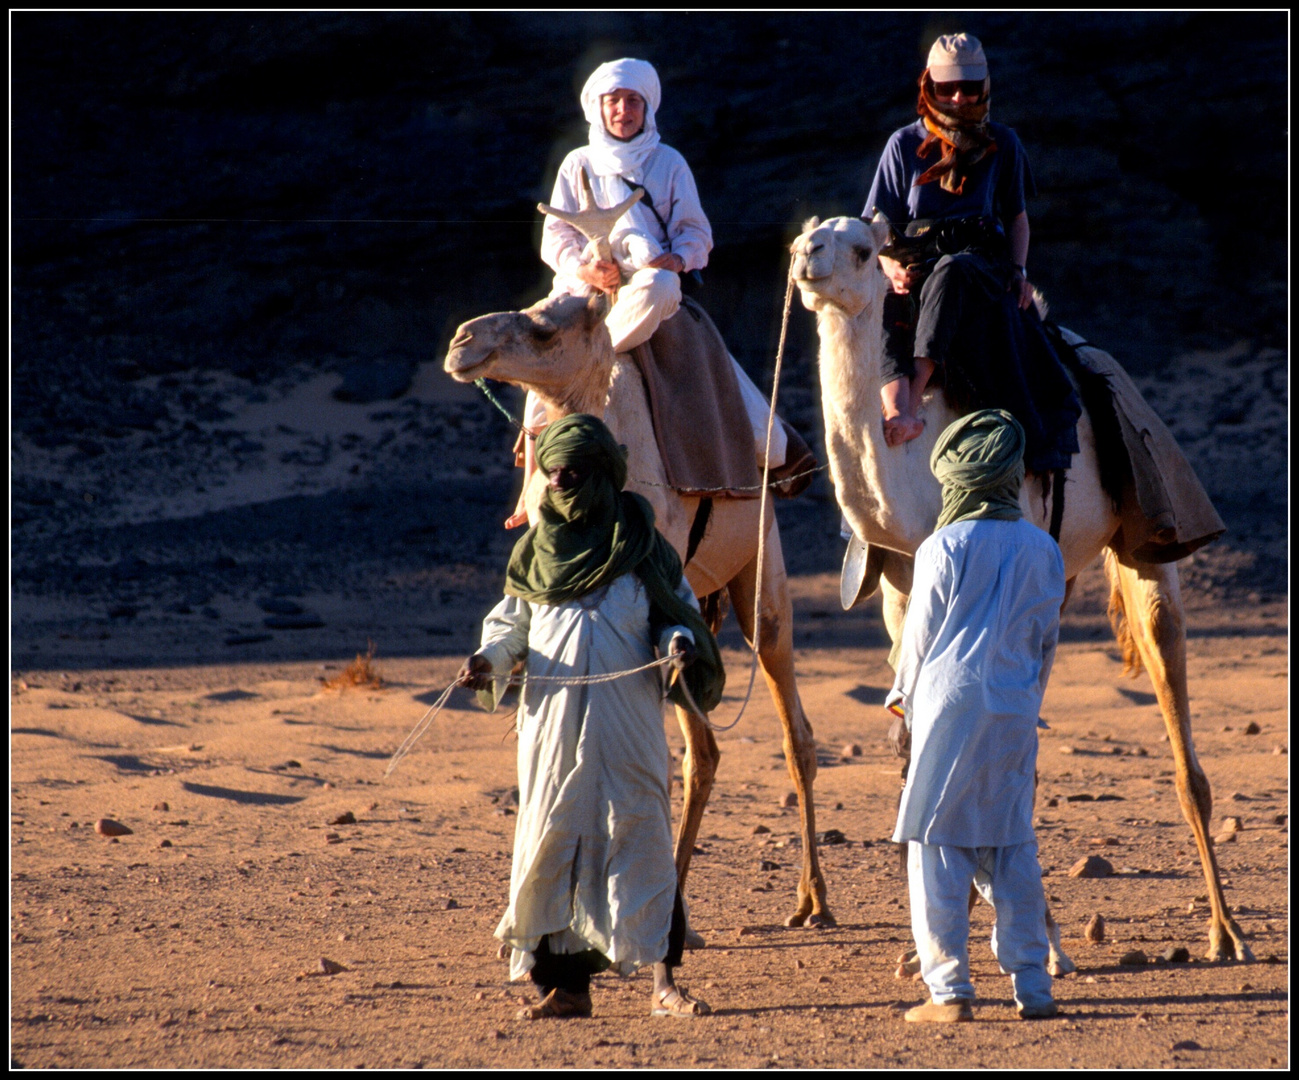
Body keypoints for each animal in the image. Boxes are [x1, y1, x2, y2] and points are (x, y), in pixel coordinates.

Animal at [784, 213, 1252, 961]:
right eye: (809, 233)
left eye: (858, 247)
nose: (805, 256)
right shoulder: (903, 595)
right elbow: (922, 739)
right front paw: (928, 941)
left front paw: (1043, 939)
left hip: (1149, 528)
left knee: (1169, 678)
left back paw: (1225, 931)